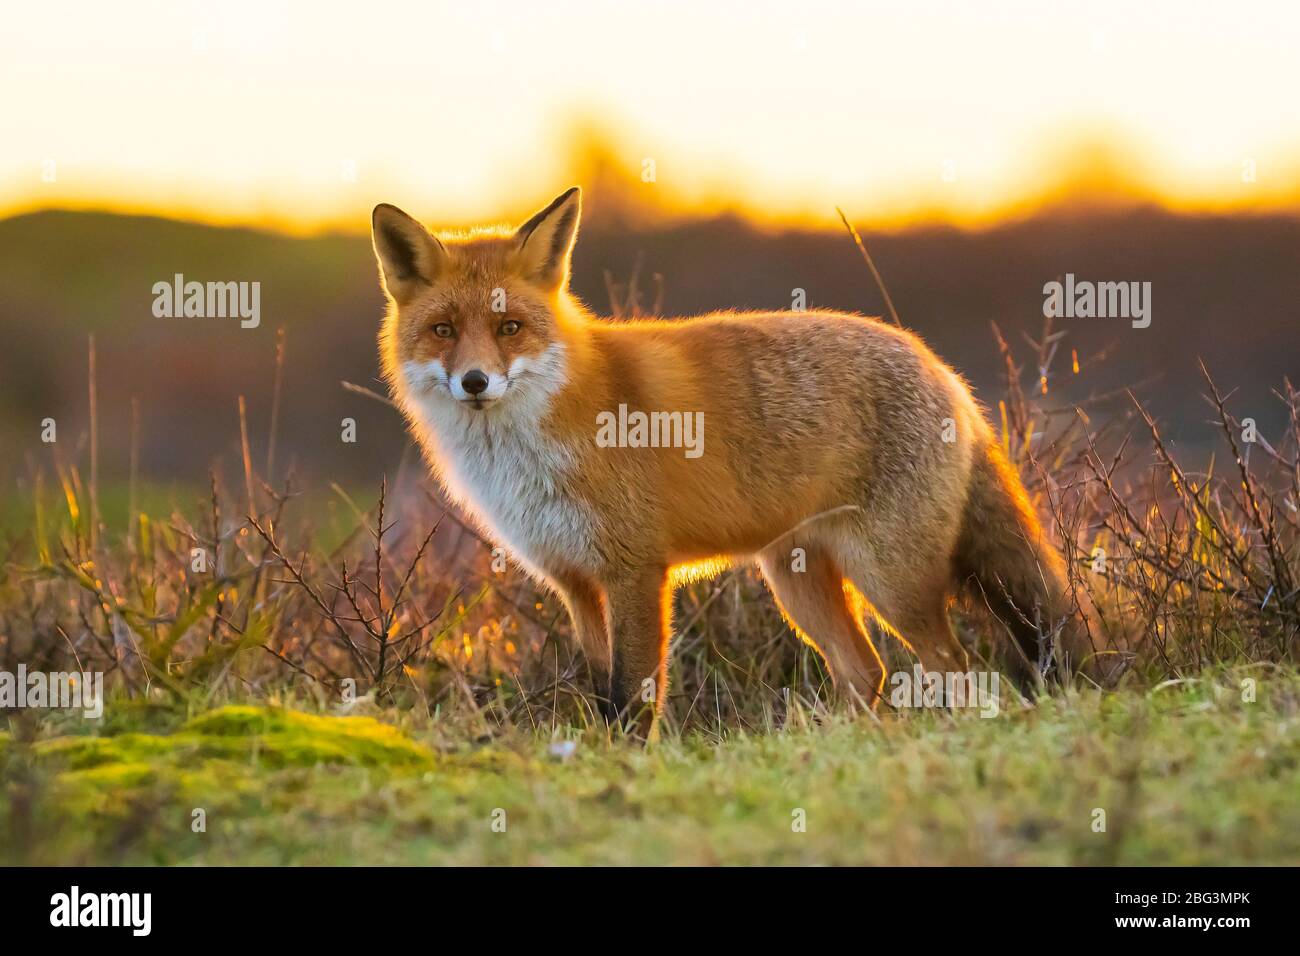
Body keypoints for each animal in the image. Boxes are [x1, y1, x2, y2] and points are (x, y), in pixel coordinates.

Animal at [371, 187, 1092, 733]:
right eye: (442, 331)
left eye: (510, 329)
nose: (474, 382)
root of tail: (942, 368)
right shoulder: (576, 582)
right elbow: (602, 693)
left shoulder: (636, 571)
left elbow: (632, 696)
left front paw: (633, 768)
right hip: (798, 583)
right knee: (869, 671)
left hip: (891, 579)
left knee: (954, 668)